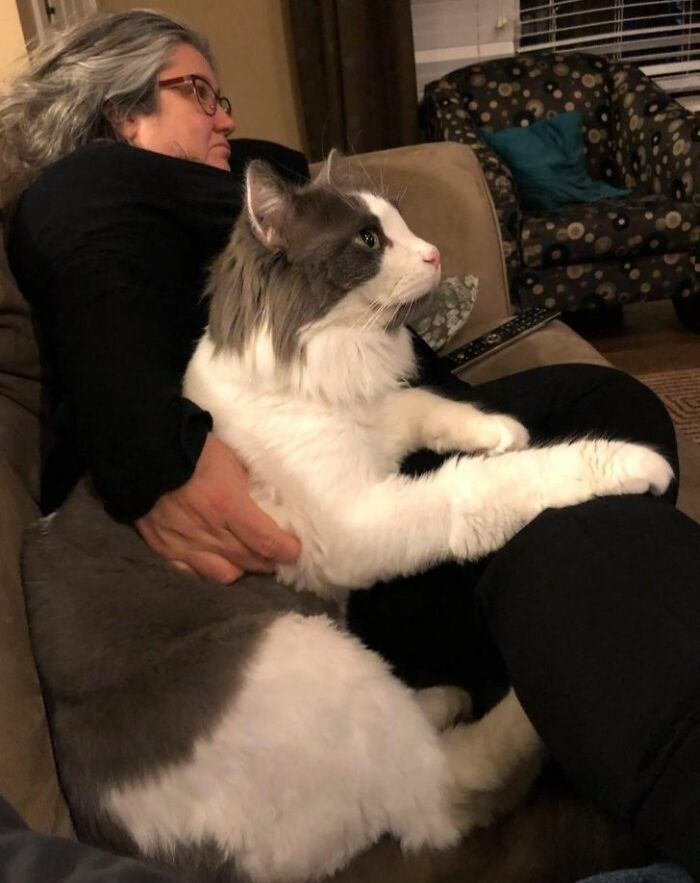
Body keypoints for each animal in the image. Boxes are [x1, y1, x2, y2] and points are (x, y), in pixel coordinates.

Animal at [23, 157, 672, 883]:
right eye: (368, 240)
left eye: (399, 225)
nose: (434, 252)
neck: (332, 365)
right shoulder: (358, 523)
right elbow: (481, 488)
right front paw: (620, 462)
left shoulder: (370, 431)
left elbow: (417, 404)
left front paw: (496, 428)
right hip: (297, 647)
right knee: (446, 791)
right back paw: (534, 709)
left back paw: (438, 698)